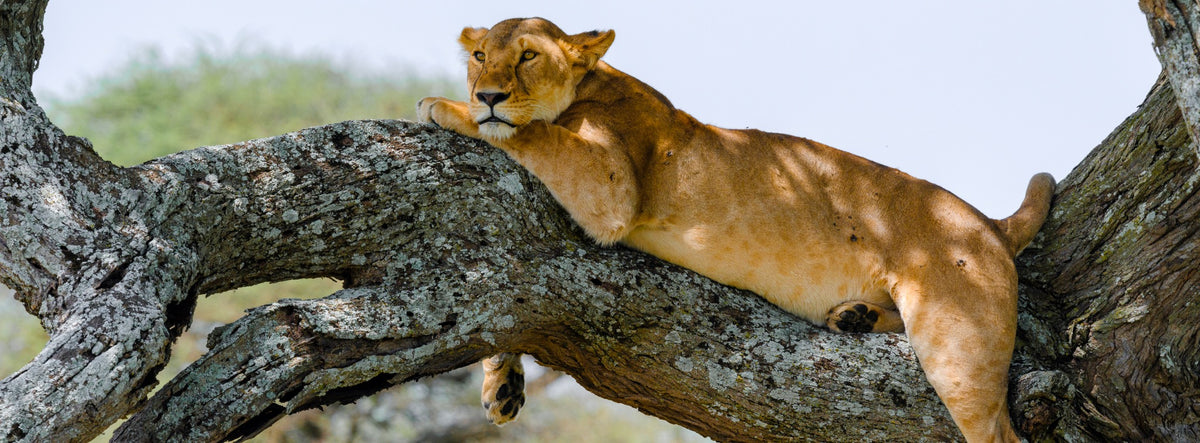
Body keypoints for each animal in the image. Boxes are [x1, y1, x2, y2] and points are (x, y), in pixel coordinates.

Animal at [417, 17, 1054, 442]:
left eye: (527, 57)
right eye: (479, 54)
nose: (486, 93)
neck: (595, 83)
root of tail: (989, 223)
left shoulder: (612, 186)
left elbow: (527, 132)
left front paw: (446, 107)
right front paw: (502, 384)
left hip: (958, 348)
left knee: (998, 432)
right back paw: (852, 317)